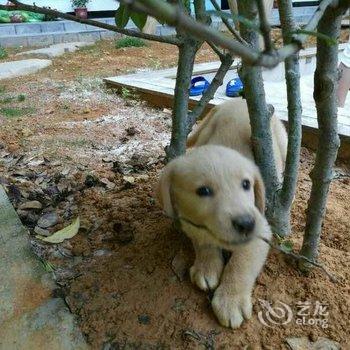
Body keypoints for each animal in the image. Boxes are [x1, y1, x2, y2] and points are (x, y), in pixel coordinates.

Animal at [159, 98, 288, 328]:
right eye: (203, 191)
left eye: (246, 184)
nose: (246, 223)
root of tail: (238, 99)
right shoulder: (190, 221)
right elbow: (203, 242)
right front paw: (207, 266)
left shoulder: (261, 228)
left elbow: (241, 263)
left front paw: (231, 300)